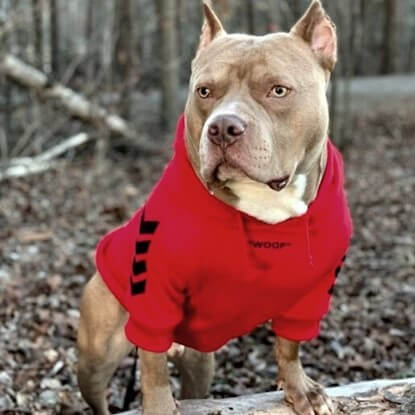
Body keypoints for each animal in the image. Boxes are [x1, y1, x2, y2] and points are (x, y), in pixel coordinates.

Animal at [76, 1, 352, 414]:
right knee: (102, 395)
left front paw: (299, 387)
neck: (263, 202)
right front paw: (159, 406)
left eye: (278, 90)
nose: (223, 127)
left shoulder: (312, 291)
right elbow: (152, 367)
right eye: (204, 91)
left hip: (199, 364)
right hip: (95, 357)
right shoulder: (153, 296)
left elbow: (289, 344)